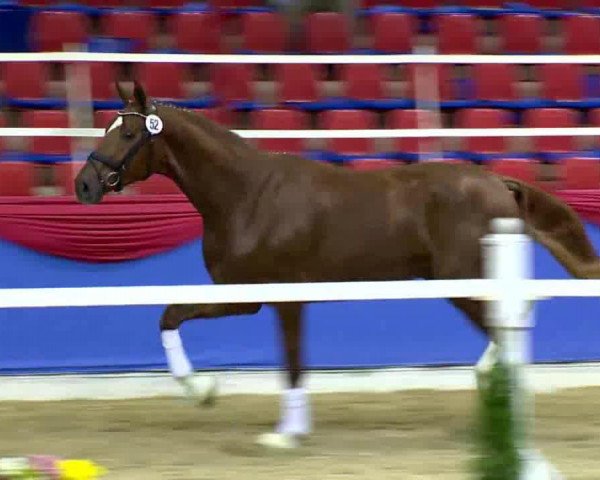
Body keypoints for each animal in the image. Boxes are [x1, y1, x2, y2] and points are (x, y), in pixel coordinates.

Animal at [74, 82, 600, 450]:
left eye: (127, 132)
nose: (84, 185)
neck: (247, 196)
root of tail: (497, 183)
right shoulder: (243, 296)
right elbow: (170, 315)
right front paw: (203, 391)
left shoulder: (283, 297)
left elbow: (291, 363)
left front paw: (283, 433)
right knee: (514, 320)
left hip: (462, 282)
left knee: (507, 327)